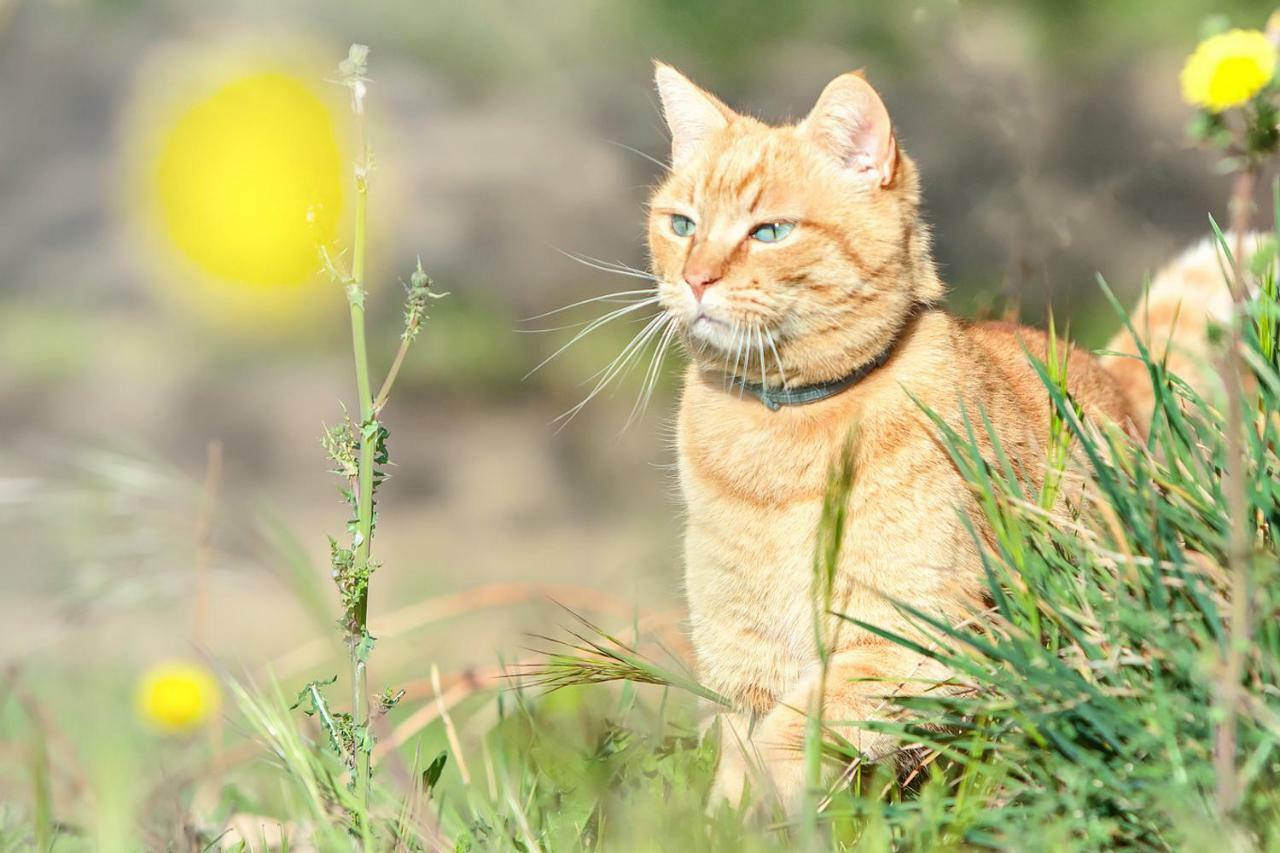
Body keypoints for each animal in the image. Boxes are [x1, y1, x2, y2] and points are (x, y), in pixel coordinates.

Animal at [645, 64, 1213, 809]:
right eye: (681, 225)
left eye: (769, 232)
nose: (695, 278)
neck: (781, 428)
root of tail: (1105, 374)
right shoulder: (741, 662)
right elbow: (742, 761)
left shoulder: (914, 638)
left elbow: (790, 738)